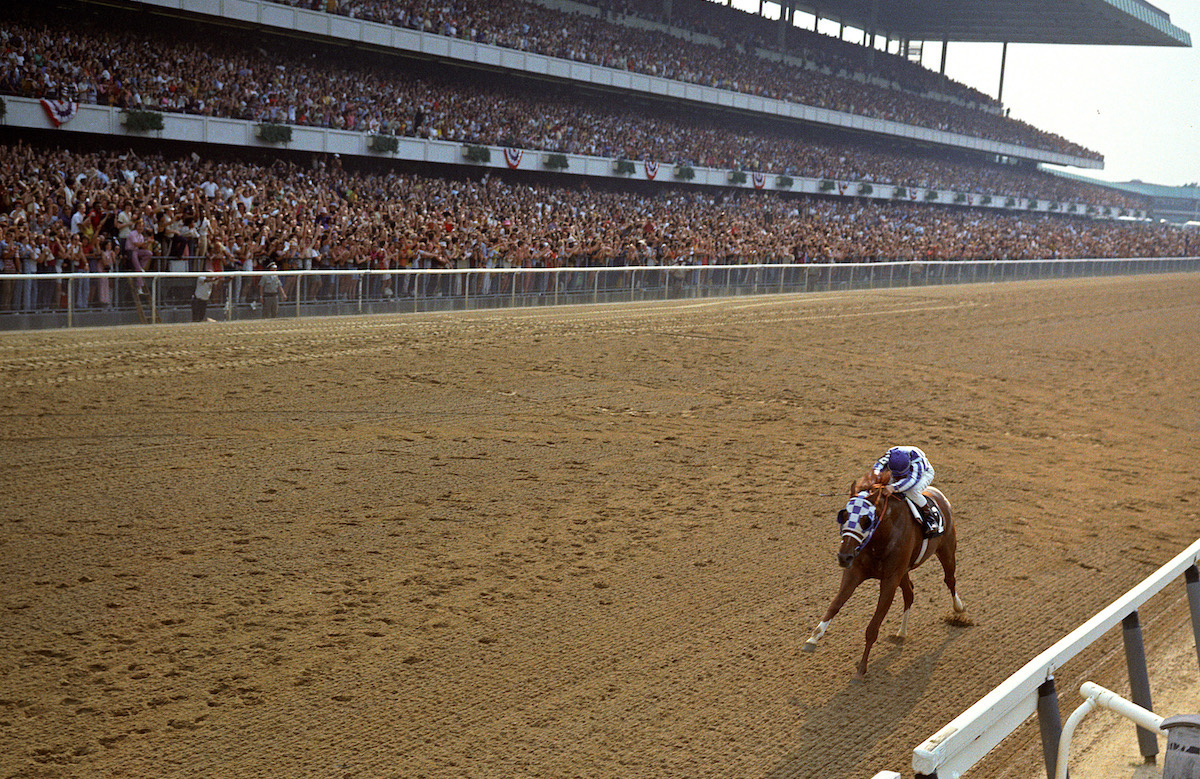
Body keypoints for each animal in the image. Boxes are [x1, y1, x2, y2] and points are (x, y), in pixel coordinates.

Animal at [796, 470, 964, 676]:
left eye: (865, 520)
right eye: (844, 515)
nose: (843, 557)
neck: (882, 536)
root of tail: (939, 494)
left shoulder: (889, 580)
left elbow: (873, 626)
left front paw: (861, 668)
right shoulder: (855, 572)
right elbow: (834, 605)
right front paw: (813, 639)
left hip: (947, 550)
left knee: (950, 579)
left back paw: (959, 609)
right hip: (904, 571)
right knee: (909, 593)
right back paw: (901, 632)